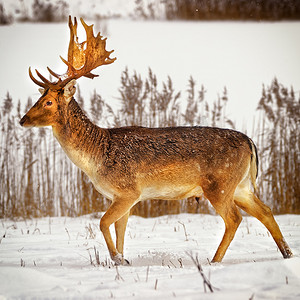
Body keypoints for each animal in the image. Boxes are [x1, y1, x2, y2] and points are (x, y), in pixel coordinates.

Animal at [19, 16, 292, 264]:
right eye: (39, 97)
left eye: (48, 102)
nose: (22, 120)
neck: (96, 157)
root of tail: (250, 142)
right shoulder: (120, 196)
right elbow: (120, 229)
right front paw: (122, 259)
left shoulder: (129, 190)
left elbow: (103, 223)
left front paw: (116, 258)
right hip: (241, 185)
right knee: (266, 211)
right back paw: (287, 254)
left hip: (220, 184)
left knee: (235, 219)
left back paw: (214, 261)